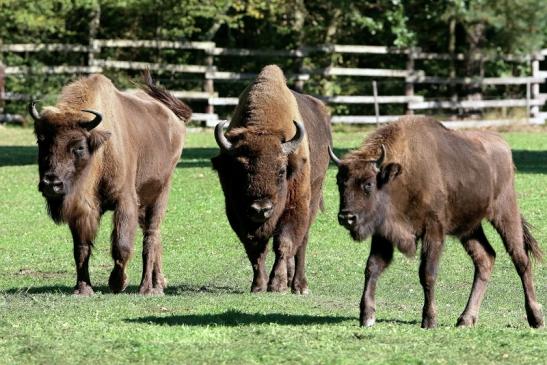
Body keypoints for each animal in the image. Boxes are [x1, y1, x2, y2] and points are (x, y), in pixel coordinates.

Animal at [31, 71, 193, 296]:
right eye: (41, 141)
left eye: (79, 146)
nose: (50, 184)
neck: (100, 153)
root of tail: (173, 116)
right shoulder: (81, 209)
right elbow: (81, 248)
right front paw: (83, 289)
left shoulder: (125, 201)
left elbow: (121, 245)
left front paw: (118, 283)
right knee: (154, 236)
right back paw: (159, 283)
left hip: (161, 192)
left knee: (151, 236)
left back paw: (147, 288)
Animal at [212, 64, 332, 292]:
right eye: (240, 170)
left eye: (281, 171)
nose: (261, 208)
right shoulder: (237, 212)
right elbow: (255, 249)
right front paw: (259, 286)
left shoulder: (295, 206)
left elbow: (284, 243)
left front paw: (277, 285)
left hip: (313, 197)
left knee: (302, 242)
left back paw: (299, 285)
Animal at [330, 116, 544, 328]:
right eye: (340, 182)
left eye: (368, 184)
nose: (346, 217)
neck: (400, 175)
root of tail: (503, 146)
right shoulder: (383, 232)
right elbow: (372, 267)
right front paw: (367, 316)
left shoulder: (433, 230)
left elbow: (427, 273)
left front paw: (429, 319)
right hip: (469, 228)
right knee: (485, 258)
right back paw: (465, 319)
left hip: (505, 213)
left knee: (521, 259)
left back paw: (536, 318)